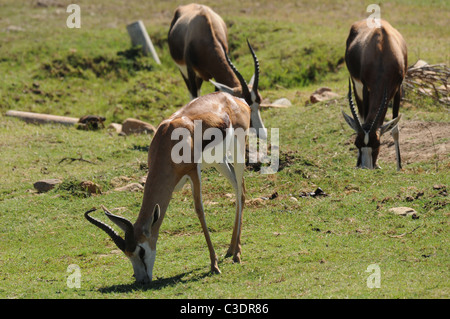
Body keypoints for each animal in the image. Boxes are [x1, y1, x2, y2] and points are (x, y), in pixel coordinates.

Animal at [85, 46, 264, 284]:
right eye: (127, 252)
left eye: (141, 250)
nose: (142, 280)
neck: (167, 140)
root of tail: (234, 98)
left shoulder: (193, 172)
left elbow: (199, 210)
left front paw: (214, 265)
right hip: (219, 162)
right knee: (238, 188)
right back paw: (231, 250)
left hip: (237, 153)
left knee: (241, 191)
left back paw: (236, 255)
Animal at [169, 2, 268, 140]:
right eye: (245, 105)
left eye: (260, 101)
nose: (263, 133)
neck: (203, 31)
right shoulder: (190, 70)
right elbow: (194, 97)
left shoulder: (215, 77)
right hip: (184, 72)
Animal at [342, 18, 408, 170]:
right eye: (356, 143)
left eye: (378, 143)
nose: (366, 167)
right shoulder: (366, 88)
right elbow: (364, 119)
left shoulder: (398, 88)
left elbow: (395, 128)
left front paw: (399, 166)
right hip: (356, 85)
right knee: (361, 114)